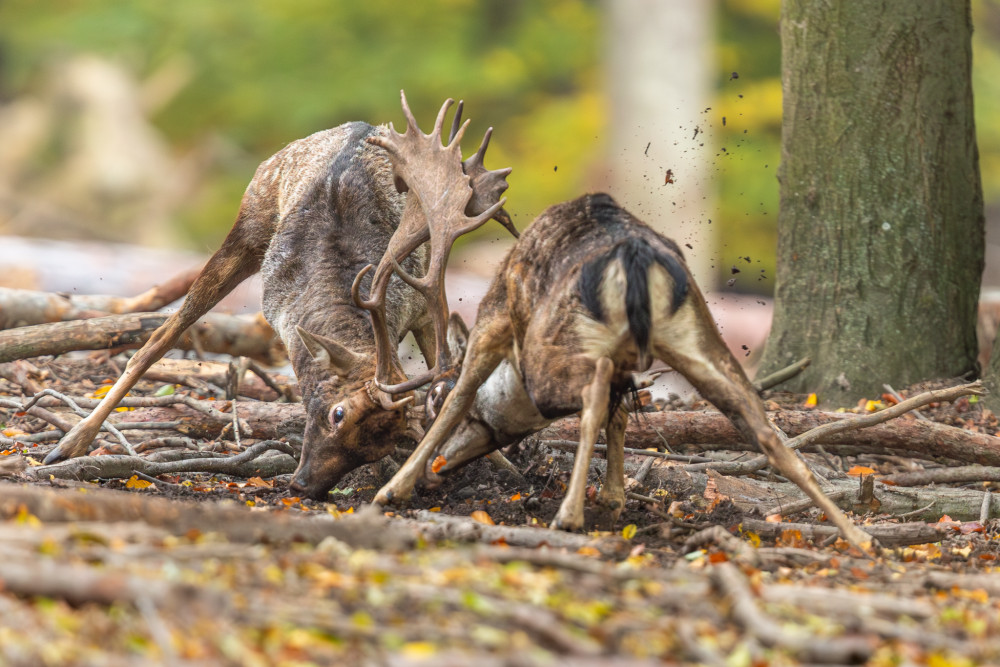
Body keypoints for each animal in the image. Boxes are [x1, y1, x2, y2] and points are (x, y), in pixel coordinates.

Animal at [42, 92, 512, 500]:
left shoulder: (417, 312)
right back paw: (70, 442)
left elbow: (449, 385)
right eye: (337, 413)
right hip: (248, 227)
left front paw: (484, 463)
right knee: (160, 337)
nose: (304, 486)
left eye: (377, 446)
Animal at [376, 190, 876, 552]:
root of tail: (633, 256)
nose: (437, 473)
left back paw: (567, 516)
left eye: (431, 398)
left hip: (556, 350)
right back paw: (859, 537)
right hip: (696, 335)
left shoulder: (495, 318)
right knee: (766, 430)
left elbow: (461, 395)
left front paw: (393, 489)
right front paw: (615, 500)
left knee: (594, 390)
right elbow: (620, 415)